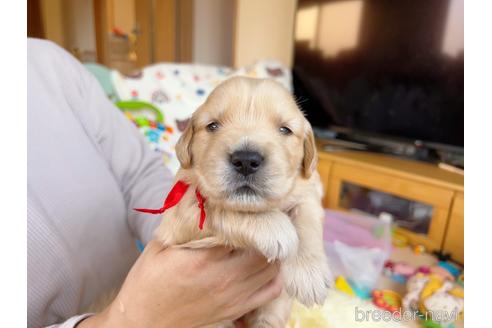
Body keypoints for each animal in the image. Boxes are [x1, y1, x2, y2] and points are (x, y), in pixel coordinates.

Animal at [152, 77, 332, 328]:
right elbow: (218, 207)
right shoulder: (179, 215)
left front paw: (309, 274)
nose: (246, 160)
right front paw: (277, 228)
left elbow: (307, 220)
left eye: (284, 129)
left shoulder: (308, 191)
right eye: (213, 126)